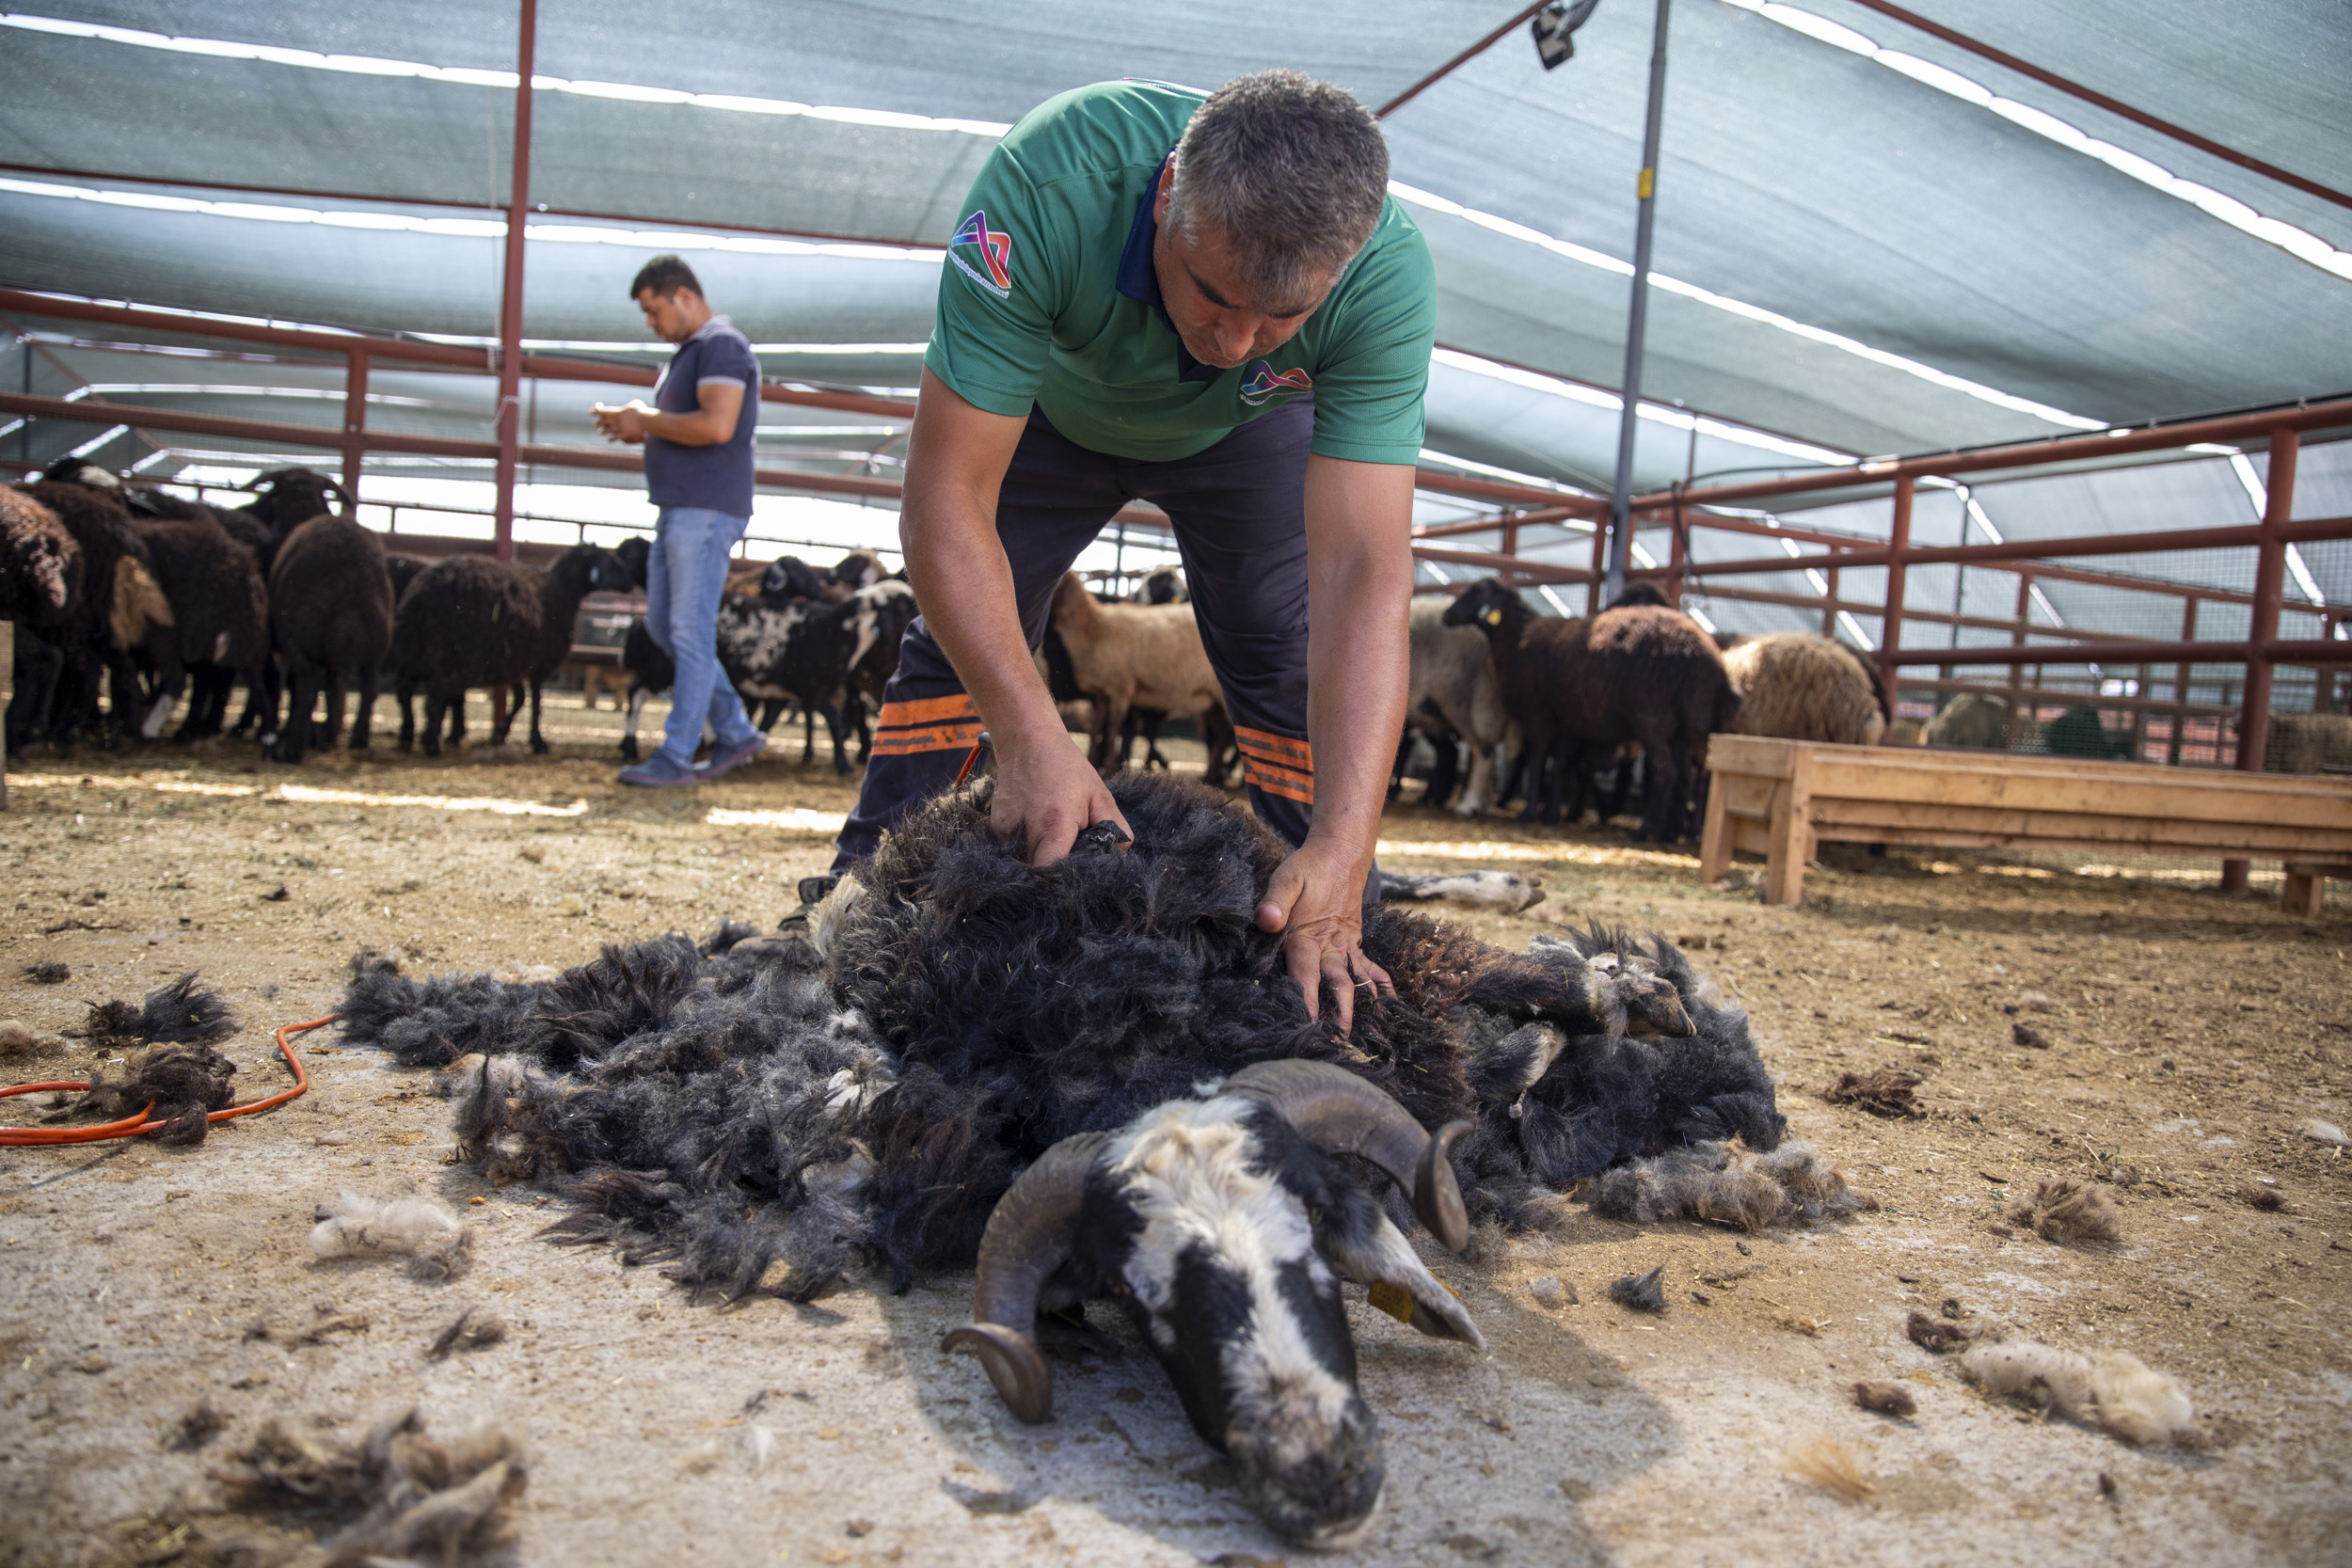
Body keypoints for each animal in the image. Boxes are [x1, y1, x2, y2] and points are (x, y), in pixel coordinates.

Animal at [395, 543, 635, 756]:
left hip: (418, 649)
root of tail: (427, 590)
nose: (630, 584)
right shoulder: (539, 664)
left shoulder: (515, 661)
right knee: (436, 693)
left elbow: (520, 698)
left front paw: (500, 732)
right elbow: (536, 702)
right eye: (610, 560)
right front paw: (537, 741)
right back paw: (431, 743)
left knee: (406, 691)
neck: (563, 591)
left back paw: (408, 736)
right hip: (458, 655)